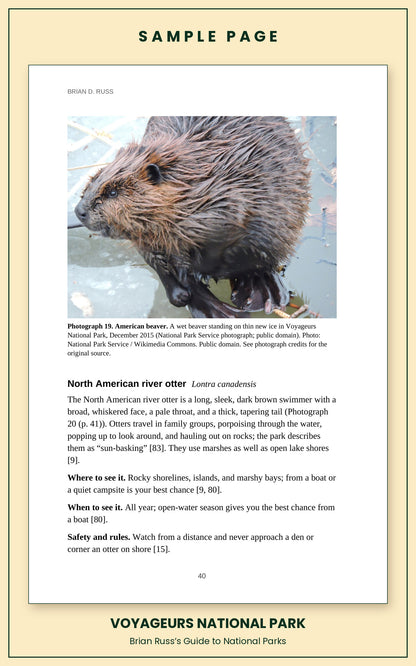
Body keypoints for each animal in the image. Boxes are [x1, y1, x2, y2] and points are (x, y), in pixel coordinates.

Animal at [75, 116, 310, 318]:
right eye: (94, 178)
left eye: (113, 192)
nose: (79, 211)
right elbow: (156, 257)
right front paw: (184, 284)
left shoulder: (233, 203)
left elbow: (230, 237)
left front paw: (199, 272)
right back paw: (219, 309)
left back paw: (263, 294)